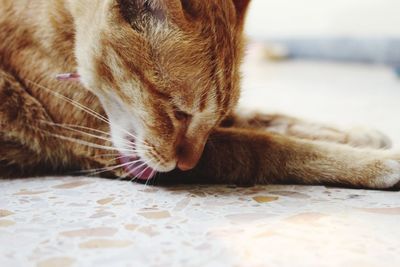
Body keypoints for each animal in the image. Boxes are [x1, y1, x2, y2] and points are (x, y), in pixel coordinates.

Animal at [0, 0, 398, 189]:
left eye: (211, 117)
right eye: (178, 111)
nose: (188, 164)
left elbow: (269, 118)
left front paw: (358, 133)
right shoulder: (109, 151)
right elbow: (270, 146)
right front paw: (375, 163)